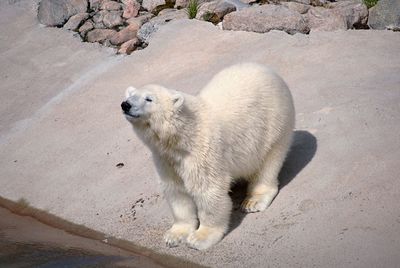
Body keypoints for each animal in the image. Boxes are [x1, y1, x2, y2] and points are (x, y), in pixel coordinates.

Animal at [121, 63, 294, 251]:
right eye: (131, 95)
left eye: (149, 99)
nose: (125, 104)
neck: (183, 136)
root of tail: (269, 71)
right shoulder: (166, 160)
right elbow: (177, 192)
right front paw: (174, 236)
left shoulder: (203, 152)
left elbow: (208, 191)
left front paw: (200, 238)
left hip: (273, 125)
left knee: (268, 162)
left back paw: (253, 202)